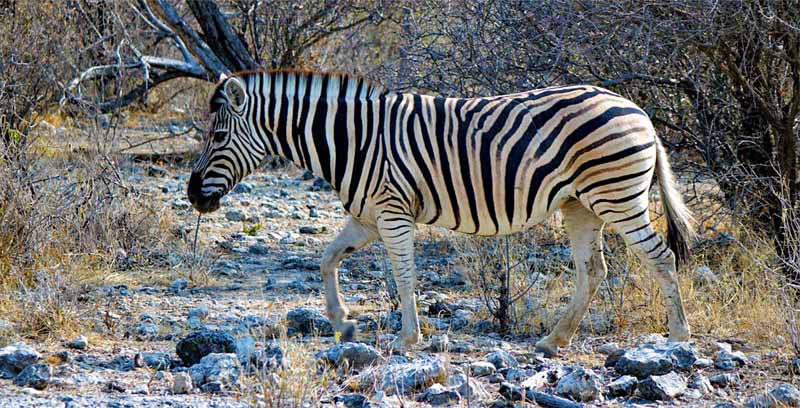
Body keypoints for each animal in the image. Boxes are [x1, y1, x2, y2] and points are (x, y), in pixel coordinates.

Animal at [187, 69, 694, 355]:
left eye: (217, 137)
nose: (193, 196)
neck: (351, 140)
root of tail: (638, 111)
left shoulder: (392, 212)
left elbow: (405, 275)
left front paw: (406, 339)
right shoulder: (366, 216)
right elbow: (327, 259)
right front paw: (343, 322)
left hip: (617, 196)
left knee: (662, 258)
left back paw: (678, 337)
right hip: (581, 206)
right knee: (593, 271)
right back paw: (555, 340)